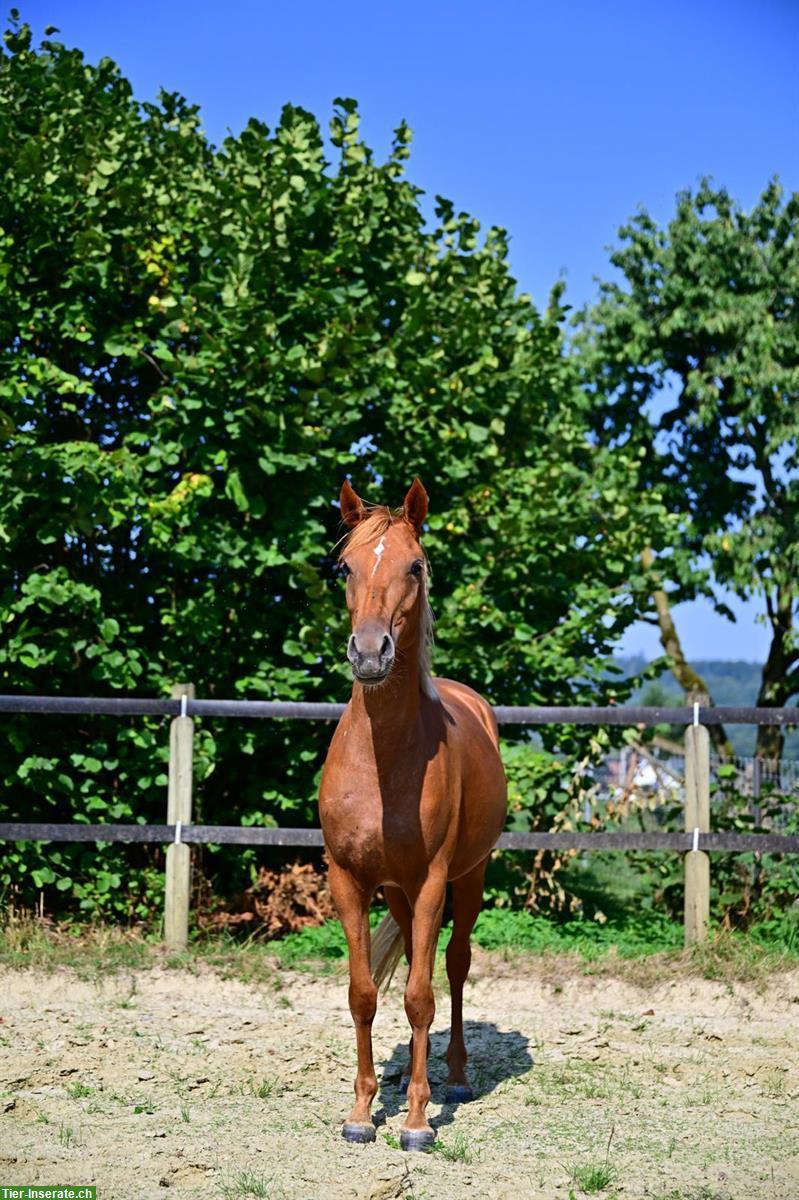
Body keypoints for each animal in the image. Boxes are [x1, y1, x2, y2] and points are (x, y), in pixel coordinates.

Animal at [316, 477, 503, 1152]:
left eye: (415, 565)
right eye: (344, 567)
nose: (370, 653)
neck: (384, 761)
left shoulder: (431, 883)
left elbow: (421, 996)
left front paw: (419, 1123)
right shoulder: (348, 880)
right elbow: (363, 993)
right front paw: (360, 1112)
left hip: (468, 879)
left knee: (454, 965)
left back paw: (456, 1079)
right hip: (395, 892)